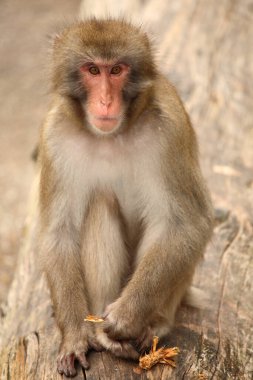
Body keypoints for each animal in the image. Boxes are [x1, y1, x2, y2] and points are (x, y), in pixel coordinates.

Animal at [38, 18, 213, 378]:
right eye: (93, 70)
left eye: (117, 70)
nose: (105, 101)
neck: (112, 136)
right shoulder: (54, 135)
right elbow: (59, 234)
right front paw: (73, 337)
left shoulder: (169, 127)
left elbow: (187, 224)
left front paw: (125, 319)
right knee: (100, 203)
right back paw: (99, 333)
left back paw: (148, 326)